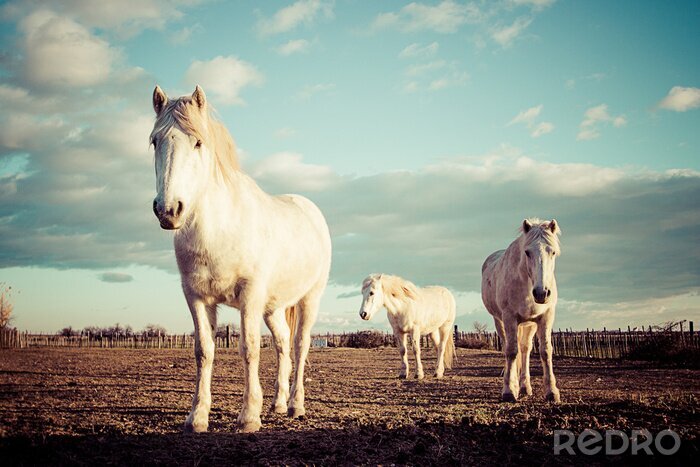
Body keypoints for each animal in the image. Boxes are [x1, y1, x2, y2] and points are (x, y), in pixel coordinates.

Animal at [149, 85, 332, 433]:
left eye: (198, 142)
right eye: (155, 141)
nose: (169, 210)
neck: (220, 228)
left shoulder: (249, 295)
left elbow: (249, 349)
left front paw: (248, 417)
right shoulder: (195, 296)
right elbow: (204, 351)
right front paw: (197, 417)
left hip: (310, 299)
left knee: (300, 346)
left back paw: (296, 405)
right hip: (272, 308)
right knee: (283, 344)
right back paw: (278, 403)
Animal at [481, 218, 561, 403]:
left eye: (553, 252)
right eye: (527, 252)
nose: (541, 293)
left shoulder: (546, 316)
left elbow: (546, 351)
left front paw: (551, 391)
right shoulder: (509, 317)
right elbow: (511, 352)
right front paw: (509, 390)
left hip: (529, 325)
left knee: (525, 350)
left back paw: (525, 386)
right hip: (500, 321)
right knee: (509, 347)